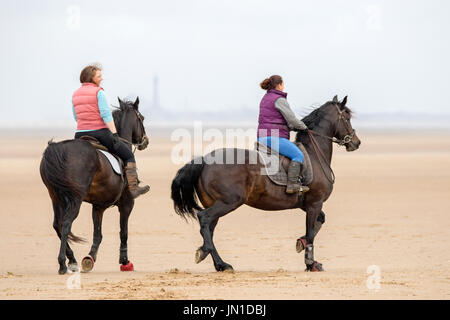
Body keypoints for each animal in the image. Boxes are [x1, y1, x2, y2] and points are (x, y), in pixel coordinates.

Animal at [39, 96, 149, 274]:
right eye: (142, 118)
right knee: (66, 223)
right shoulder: (127, 203)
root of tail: (57, 150)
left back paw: (72, 260)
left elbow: (98, 234)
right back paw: (63, 263)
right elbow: (123, 232)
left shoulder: (98, 206)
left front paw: (90, 258)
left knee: (57, 224)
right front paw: (125, 262)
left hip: (55, 197)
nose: (145, 141)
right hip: (75, 198)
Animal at [171, 95, 360, 272]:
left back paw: (213, 259)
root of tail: (205, 160)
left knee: (208, 229)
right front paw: (311, 263)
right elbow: (312, 232)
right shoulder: (315, 203)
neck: (314, 154)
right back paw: (217, 260)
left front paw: (301, 243)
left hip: (215, 204)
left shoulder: (307, 205)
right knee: (204, 219)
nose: (356, 142)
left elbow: (318, 223)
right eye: (347, 117)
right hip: (228, 203)